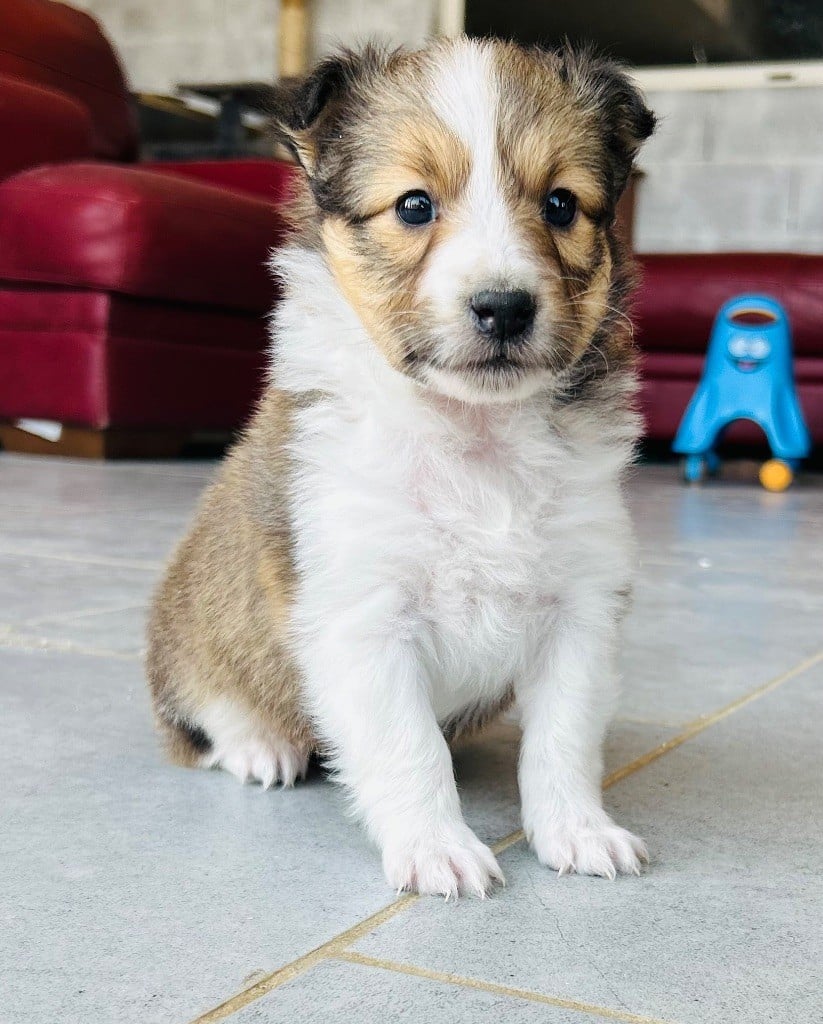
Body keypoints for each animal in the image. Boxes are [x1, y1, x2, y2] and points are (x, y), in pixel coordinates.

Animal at [146, 37, 655, 897]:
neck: (473, 435)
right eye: (414, 206)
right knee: (208, 716)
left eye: (560, 204)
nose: (503, 307)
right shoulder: (362, 614)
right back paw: (262, 747)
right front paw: (436, 848)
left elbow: (563, 738)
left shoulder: (580, 606)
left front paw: (579, 832)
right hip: (197, 640)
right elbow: (407, 749)